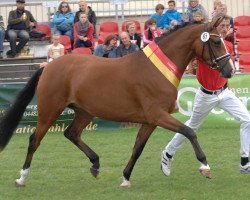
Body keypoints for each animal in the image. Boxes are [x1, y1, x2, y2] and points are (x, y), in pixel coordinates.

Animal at [0, 16, 234, 188]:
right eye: (215, 42)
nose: (229, 70)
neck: (156, 70)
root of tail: (48, 66)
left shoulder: (150, 120)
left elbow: (138, 147)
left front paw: (125, 178)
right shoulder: (158, 115)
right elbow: (189, 132)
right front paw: (205, 166)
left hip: (84, 111)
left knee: (71, 133)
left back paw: (95, 165)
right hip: (50, 110)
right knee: (35, 140)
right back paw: (22, 177)